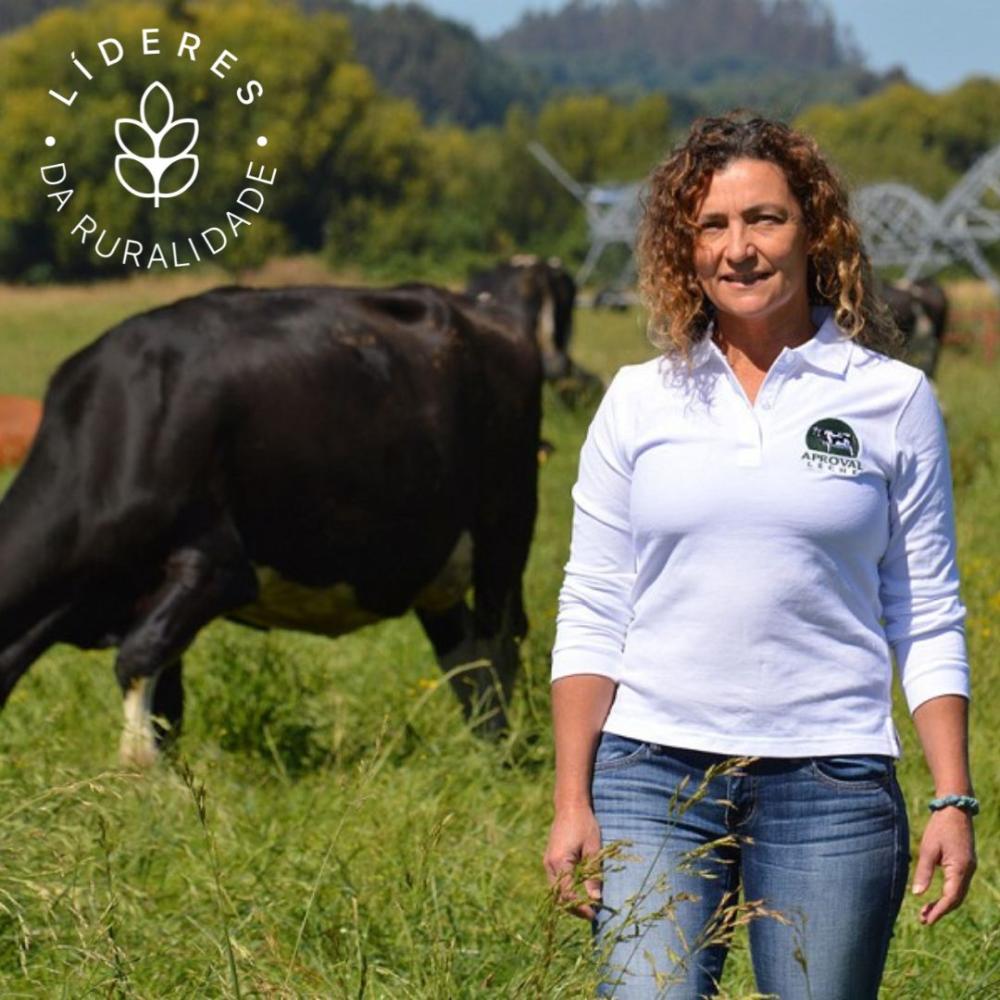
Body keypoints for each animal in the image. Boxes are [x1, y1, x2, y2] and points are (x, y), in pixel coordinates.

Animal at [0, 282, 544, 764]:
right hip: (430, 560)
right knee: (461, 649)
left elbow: (136, 659)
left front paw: (138, 772)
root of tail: (485, 313)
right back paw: (478, 744)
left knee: (500, 637)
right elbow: (167, 699)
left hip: (505, 527)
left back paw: (502, 750)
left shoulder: (218, 567)